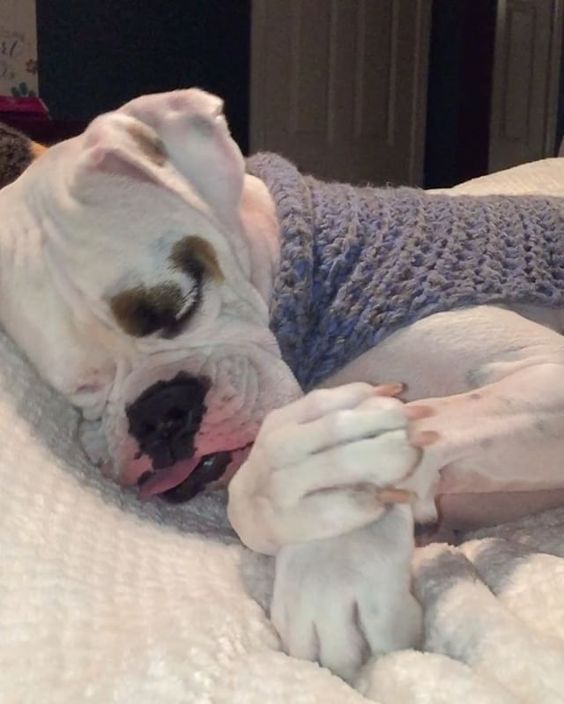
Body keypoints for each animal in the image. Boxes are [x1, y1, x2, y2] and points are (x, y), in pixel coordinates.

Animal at [3, 88, 564, 680]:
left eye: (182, 304)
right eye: (83, 389)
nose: (160, 413)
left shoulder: (544, 372)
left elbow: (423, 424)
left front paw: (319, 495)